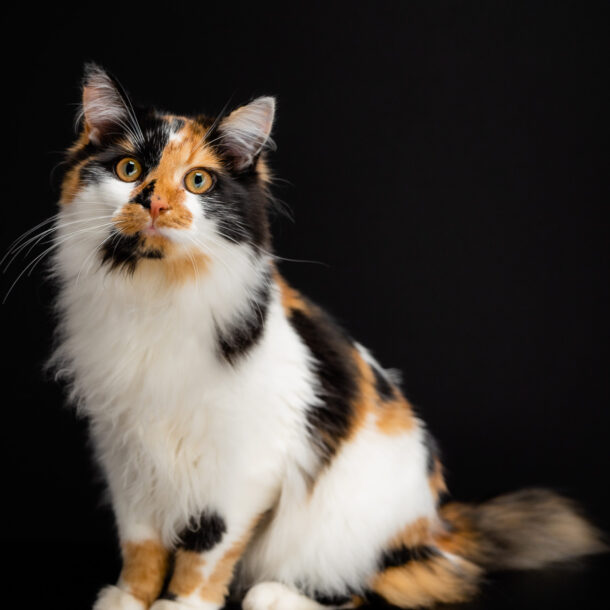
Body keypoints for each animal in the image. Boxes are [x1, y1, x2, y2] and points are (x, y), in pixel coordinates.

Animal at [45, 64, 600, 604]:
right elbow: (141, 541)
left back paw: (273, 596)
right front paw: (129, 598)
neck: (157, 291)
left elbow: (207, 549)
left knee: (371, 587)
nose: (156, 205)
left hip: (337, 524)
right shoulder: (127, 452)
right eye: (129, 170)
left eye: (198, 181)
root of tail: (433, 525)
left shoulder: (246, 465)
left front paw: (182, 604)